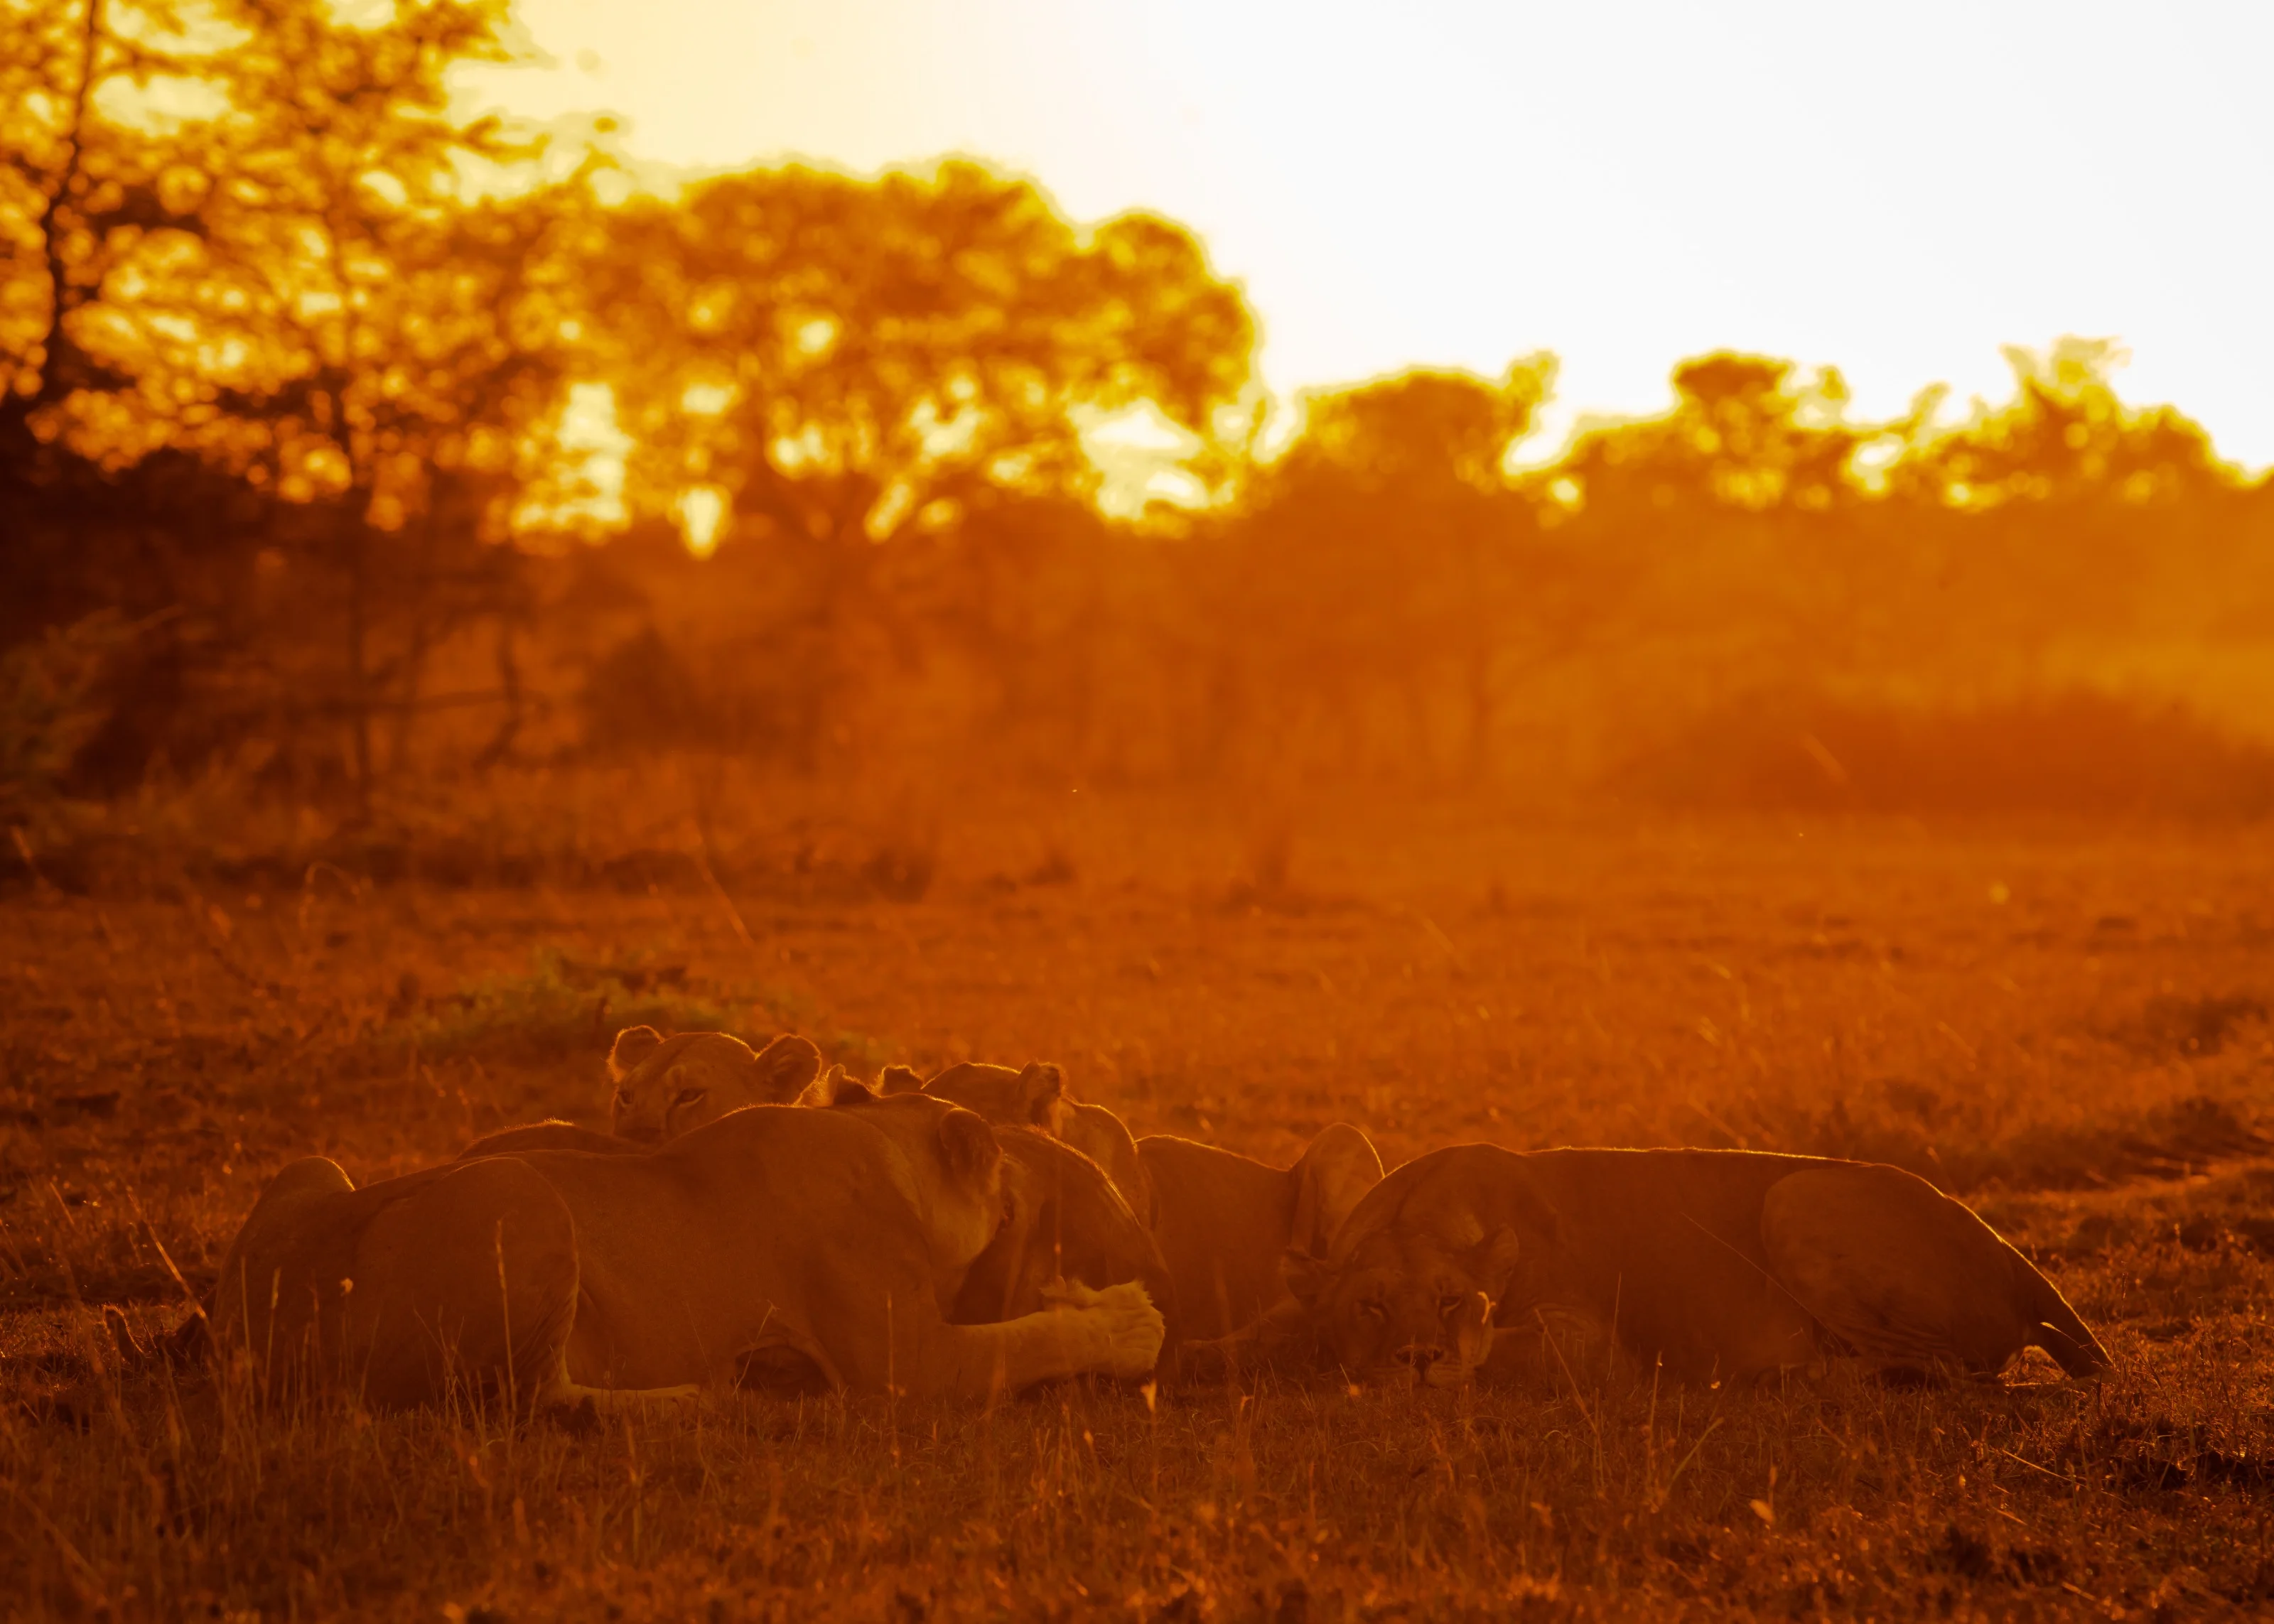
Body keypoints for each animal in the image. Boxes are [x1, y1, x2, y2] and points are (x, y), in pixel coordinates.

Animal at [202, 1090, 1165, 1410]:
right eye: (1099, 1190)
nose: (1149, 1257)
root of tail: (258, 1332)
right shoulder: (906, 1363)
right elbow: (1031, 1337)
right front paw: (1127, 1326)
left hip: (312, 1169)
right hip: (524, 1194)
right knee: (533, 1397)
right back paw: (713, 1394)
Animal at [1280, 1145, 2113, 1389]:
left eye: (1453, 1300)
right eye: (1371, 1305)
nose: (1418, 1359)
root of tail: (2014, 1255)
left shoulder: (1590, 1341)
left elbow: (1506, 1353)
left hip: (1794, 1195)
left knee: (1946, 1369)